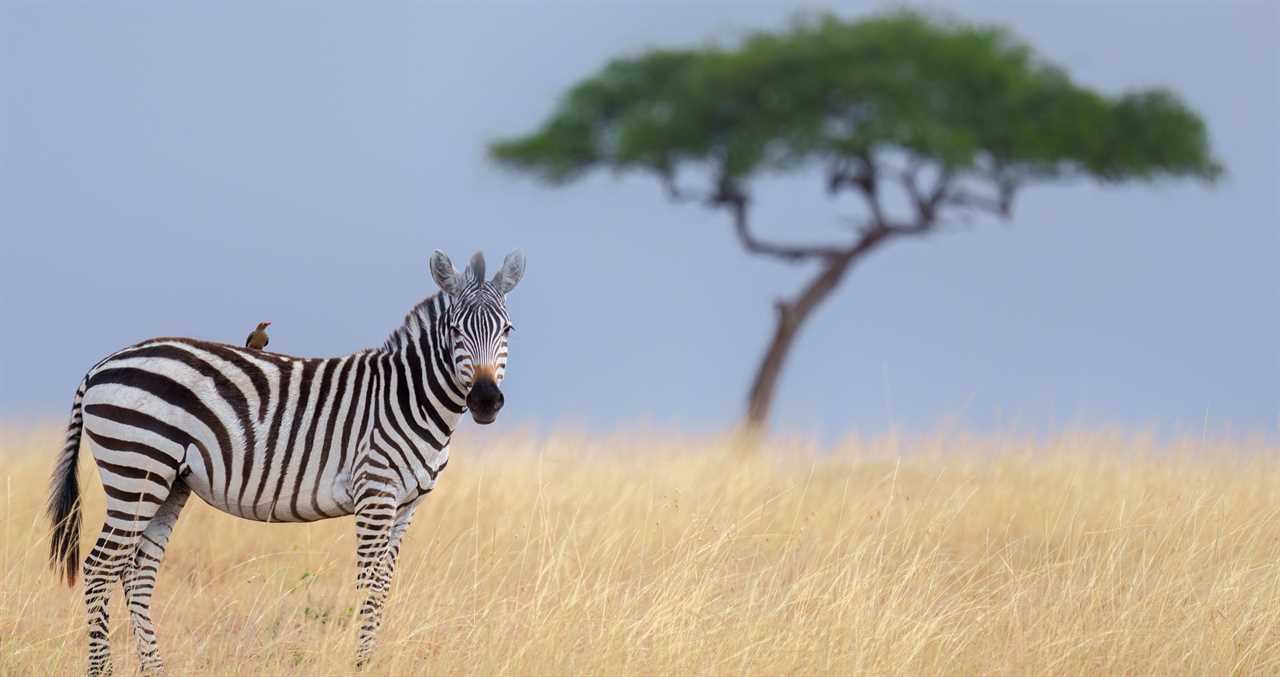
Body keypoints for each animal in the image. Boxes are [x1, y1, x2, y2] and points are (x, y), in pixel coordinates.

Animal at [46, 249, 524, 675]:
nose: (485, 401)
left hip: (167, 482)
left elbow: (383, 588)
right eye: (455, 331)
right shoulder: (375, 494)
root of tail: (101, 366)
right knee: (99, 567)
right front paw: (360, 665)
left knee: (137, 572)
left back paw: (155, 669)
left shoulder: (406, 506)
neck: (410, 397)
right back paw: (102, 670)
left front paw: (370, 660)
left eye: (508, 329)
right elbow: (368, 586)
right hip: (136, 467)